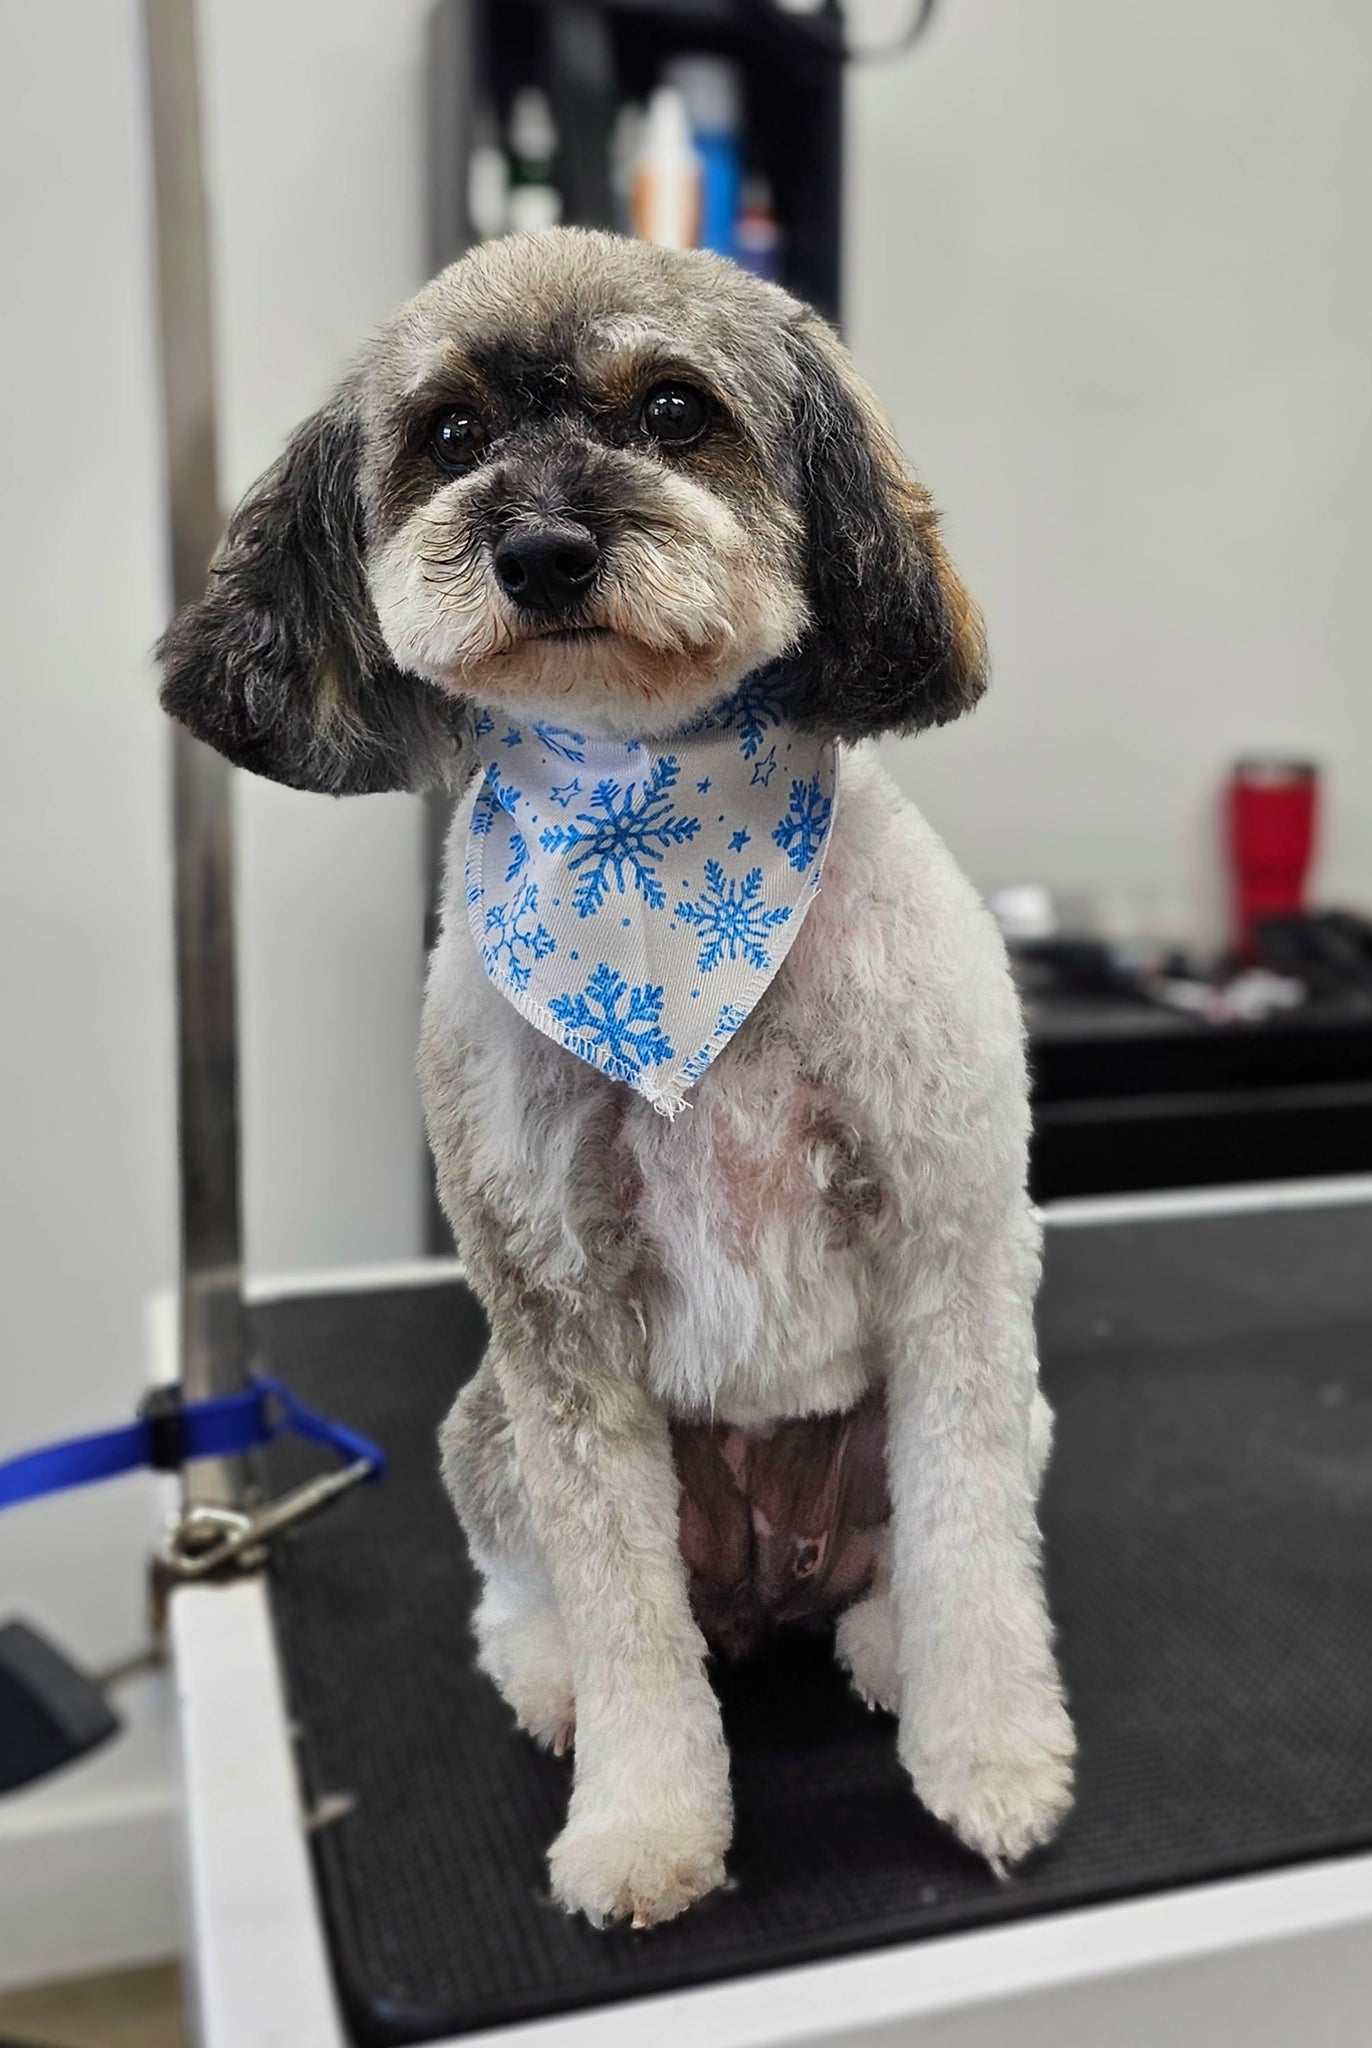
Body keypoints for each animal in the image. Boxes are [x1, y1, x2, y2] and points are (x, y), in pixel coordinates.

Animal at [160, 228, 1075, 1929]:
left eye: (672, 409)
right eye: (450, 433)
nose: (543, 550)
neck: (653, 845)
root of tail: (768, 1580)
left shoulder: (954, 1247)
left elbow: (976, 1546)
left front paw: (988, 1759)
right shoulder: (555, 1312)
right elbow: (625, 1617)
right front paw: (647, 1827)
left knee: (913, 1552)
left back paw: (884, 1644)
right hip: (484, 1424)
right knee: (534, 1597)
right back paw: (556, 1680)